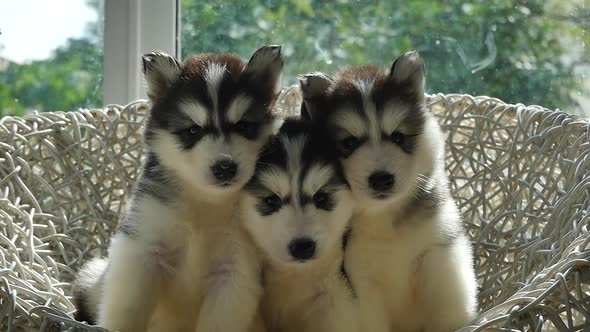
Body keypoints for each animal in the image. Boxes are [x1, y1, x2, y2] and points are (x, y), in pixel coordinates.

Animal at [74, 44, 284, 332]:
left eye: (243, 125)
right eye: (193, 130)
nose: (225, 167)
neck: (206, 201)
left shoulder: (235, 274)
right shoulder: (142, 248)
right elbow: (127, 310)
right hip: (93, 277)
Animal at [300, 50, 480, 332]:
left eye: (398, 137)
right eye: (349, 143)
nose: (382, 179)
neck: (384, 215)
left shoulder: (439, 253)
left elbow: (447, 311)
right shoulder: (363, 280)